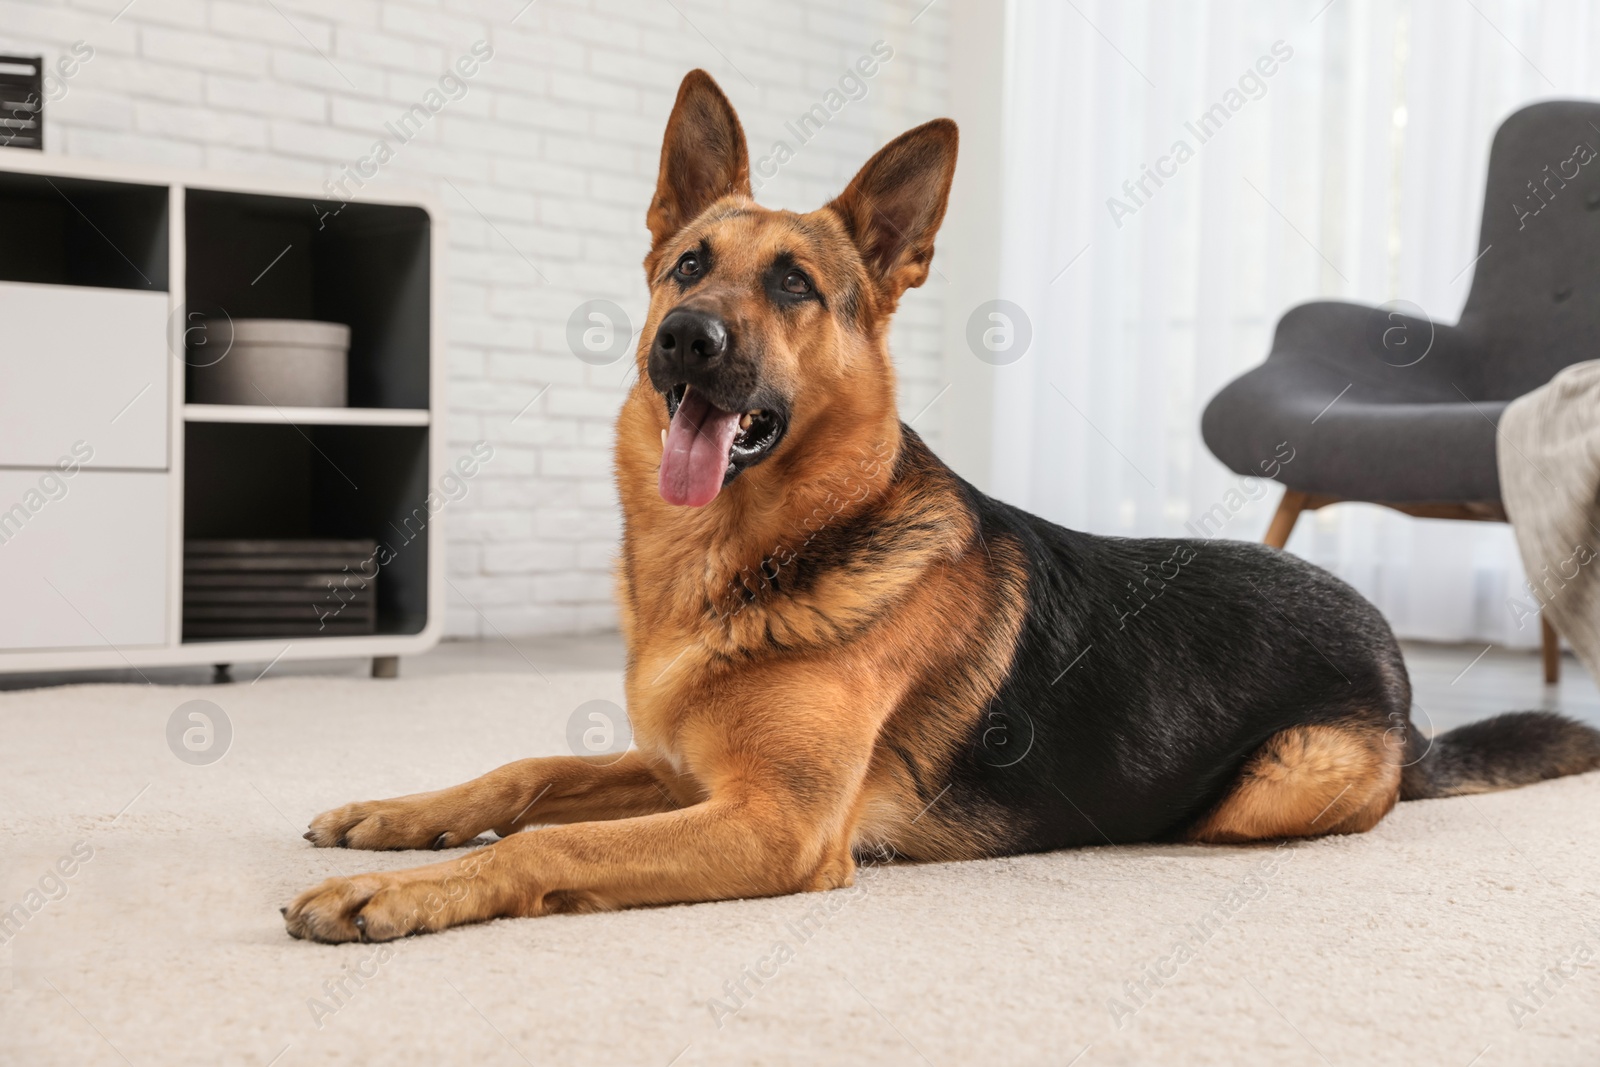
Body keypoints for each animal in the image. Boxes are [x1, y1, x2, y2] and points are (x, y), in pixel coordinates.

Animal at [284, 70, 1600, 940]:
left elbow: (548, 836)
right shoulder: (687, 773)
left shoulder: (772, 823)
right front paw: (395, 817)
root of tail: (1400, 678)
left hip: (1271, 785)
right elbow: (524, 773)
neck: (749, 552)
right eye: (688, 265)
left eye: (795, 286)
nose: (682, 340)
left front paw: (398, 892)